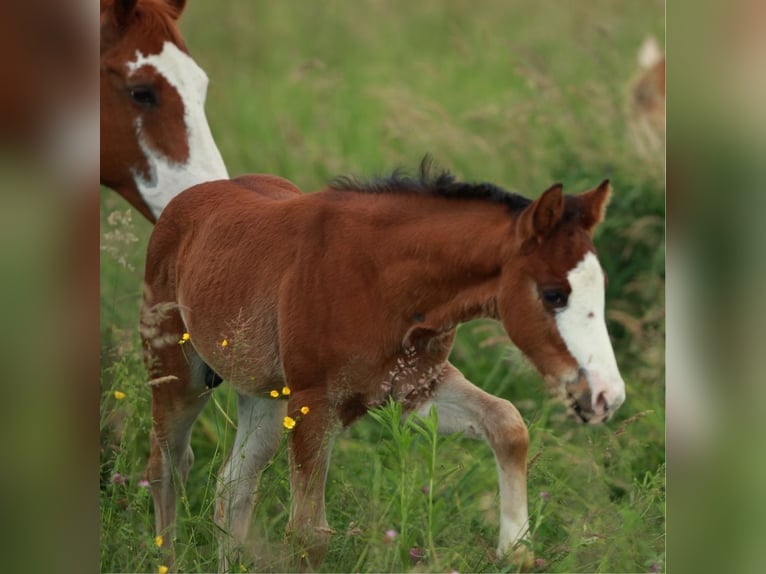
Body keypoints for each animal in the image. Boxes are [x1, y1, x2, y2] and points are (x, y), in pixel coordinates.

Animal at [141, 160, 628, 572]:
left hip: (264, 397)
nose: (606, 395)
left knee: (234, 482)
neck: (383, 279)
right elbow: (309, 535)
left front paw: (517, 549)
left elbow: (507, 422)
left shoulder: (415, 389)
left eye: (602, 286)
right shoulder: (314, 403)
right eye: (553, 294)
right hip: (176, 373)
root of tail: (184, 201)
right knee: (168, 465)